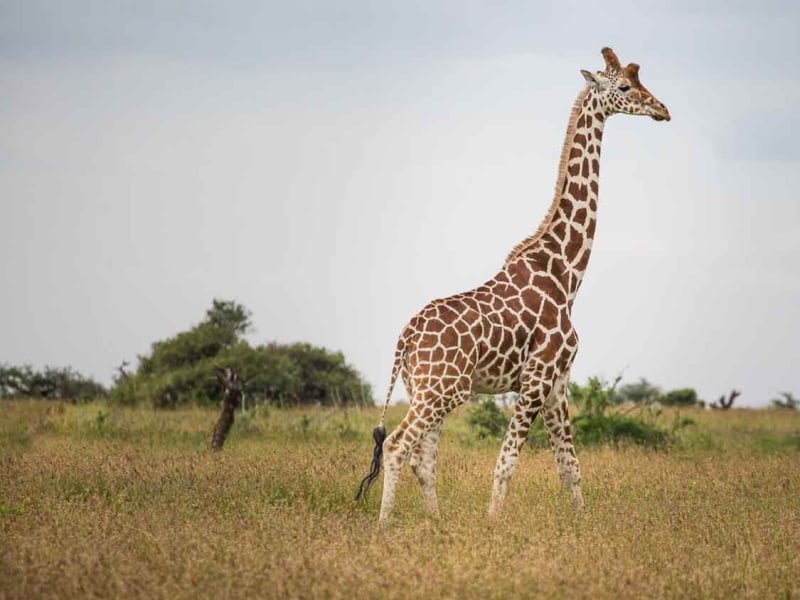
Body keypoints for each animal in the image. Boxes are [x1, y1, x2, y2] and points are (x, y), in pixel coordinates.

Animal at [356, 47, 671, 524]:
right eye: (624, 87)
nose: (662, 110)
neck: (566, 273)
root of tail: (405, 339)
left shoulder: (558, 382)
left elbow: (569, 465)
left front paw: (581, 523)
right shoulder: (537, 378)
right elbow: (506, 462)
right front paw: (493, 523)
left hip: (426, 388)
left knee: (422, 458)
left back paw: (436, 522)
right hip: (443, 390)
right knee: (396, 447)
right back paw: (385, 526)